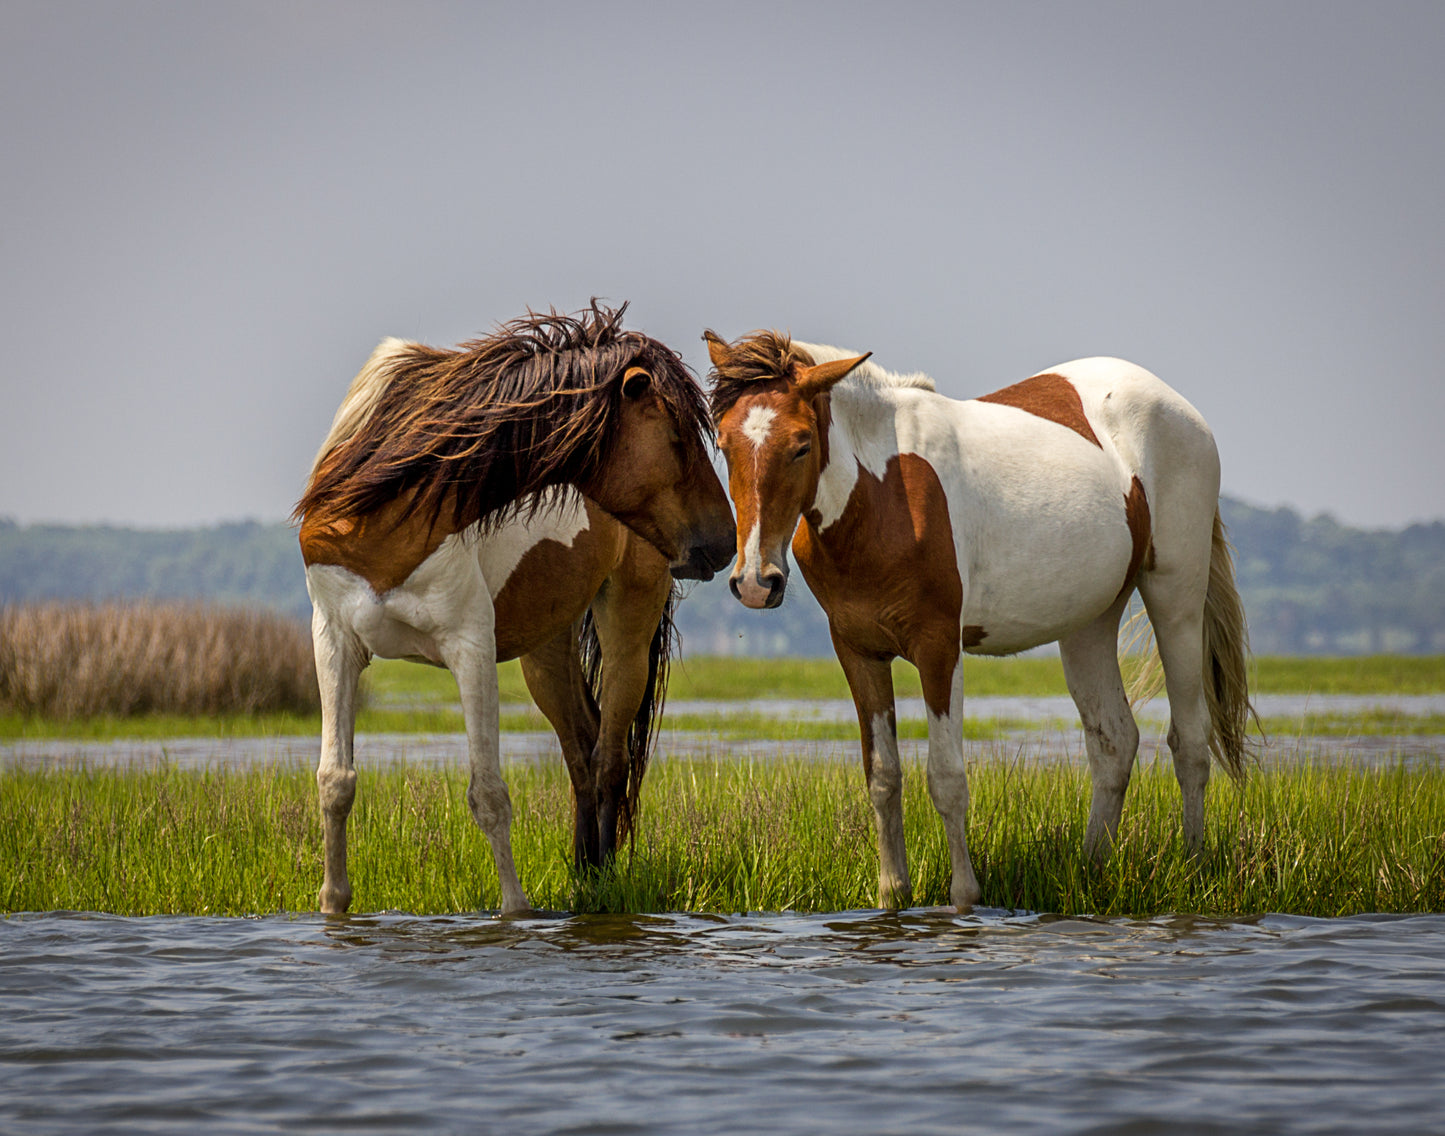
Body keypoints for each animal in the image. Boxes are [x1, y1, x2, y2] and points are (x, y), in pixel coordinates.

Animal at [290, 300, 734, 913]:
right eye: (676, 436)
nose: (726, 540)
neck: (388, 504)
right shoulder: (333, 640)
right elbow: (335, 780)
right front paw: (333, 905)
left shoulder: (470, 647)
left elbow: (489, 794)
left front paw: (516, 911)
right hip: (546, 647)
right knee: (582, 749)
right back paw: (584, 877)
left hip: (628, 621)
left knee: (610, 757)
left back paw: (602, 884)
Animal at [702, 328, 1254, 913]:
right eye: (724, 444)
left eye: (802, 444)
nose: (756, 581)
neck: (881, 496)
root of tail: (1181, 410)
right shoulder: (858, 651)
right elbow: (883, 777)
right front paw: (892, 894)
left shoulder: (939, 647)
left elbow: (946, 778)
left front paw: (964, 897)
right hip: (1090, 619)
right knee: (1113, 741)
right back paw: (1092, 871)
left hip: (1176, 595)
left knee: (1189, 740)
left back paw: (1193, 869)